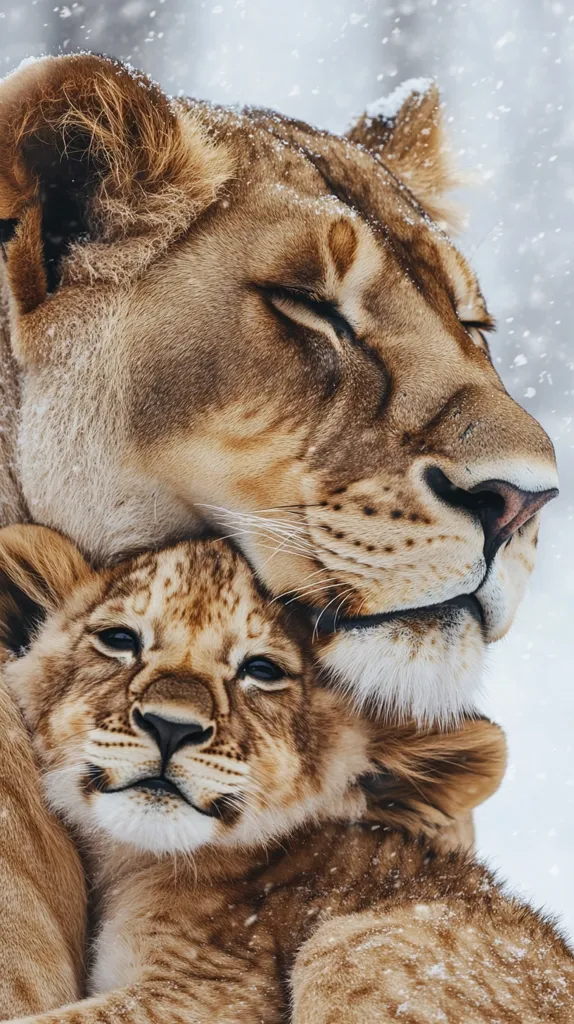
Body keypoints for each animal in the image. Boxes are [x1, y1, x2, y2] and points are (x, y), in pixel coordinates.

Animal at [0, 525, 571, 1024]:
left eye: (263, 670)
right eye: (119, 639)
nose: (170, 726)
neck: (131, 863)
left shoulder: (217, 991)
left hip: (352, 949)